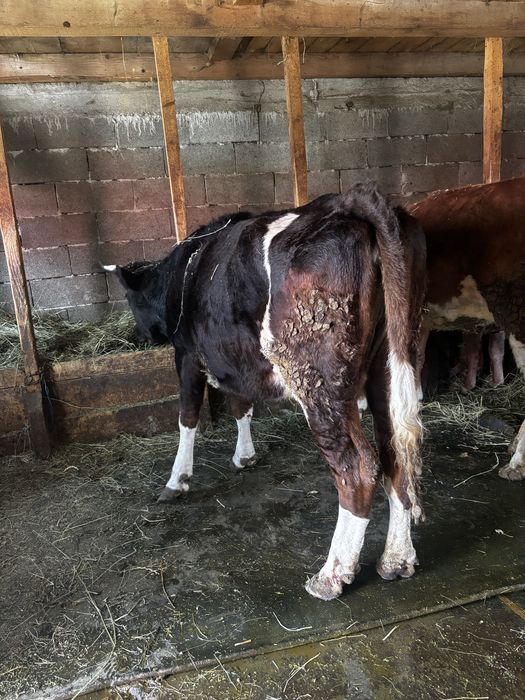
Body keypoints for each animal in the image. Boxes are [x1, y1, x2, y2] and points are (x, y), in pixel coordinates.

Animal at [107, 183, 426, 601]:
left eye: (131, 301)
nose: (139, 336)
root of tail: (348, 203)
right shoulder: (233, 359)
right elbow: (241, 404)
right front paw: (245, 455)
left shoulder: (188, 355)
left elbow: (187, 417)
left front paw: (177, 480)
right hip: (391, 365)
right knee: (396, 454)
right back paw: (396, 559)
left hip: (317, 379)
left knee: (357, 468)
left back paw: (331, 576)